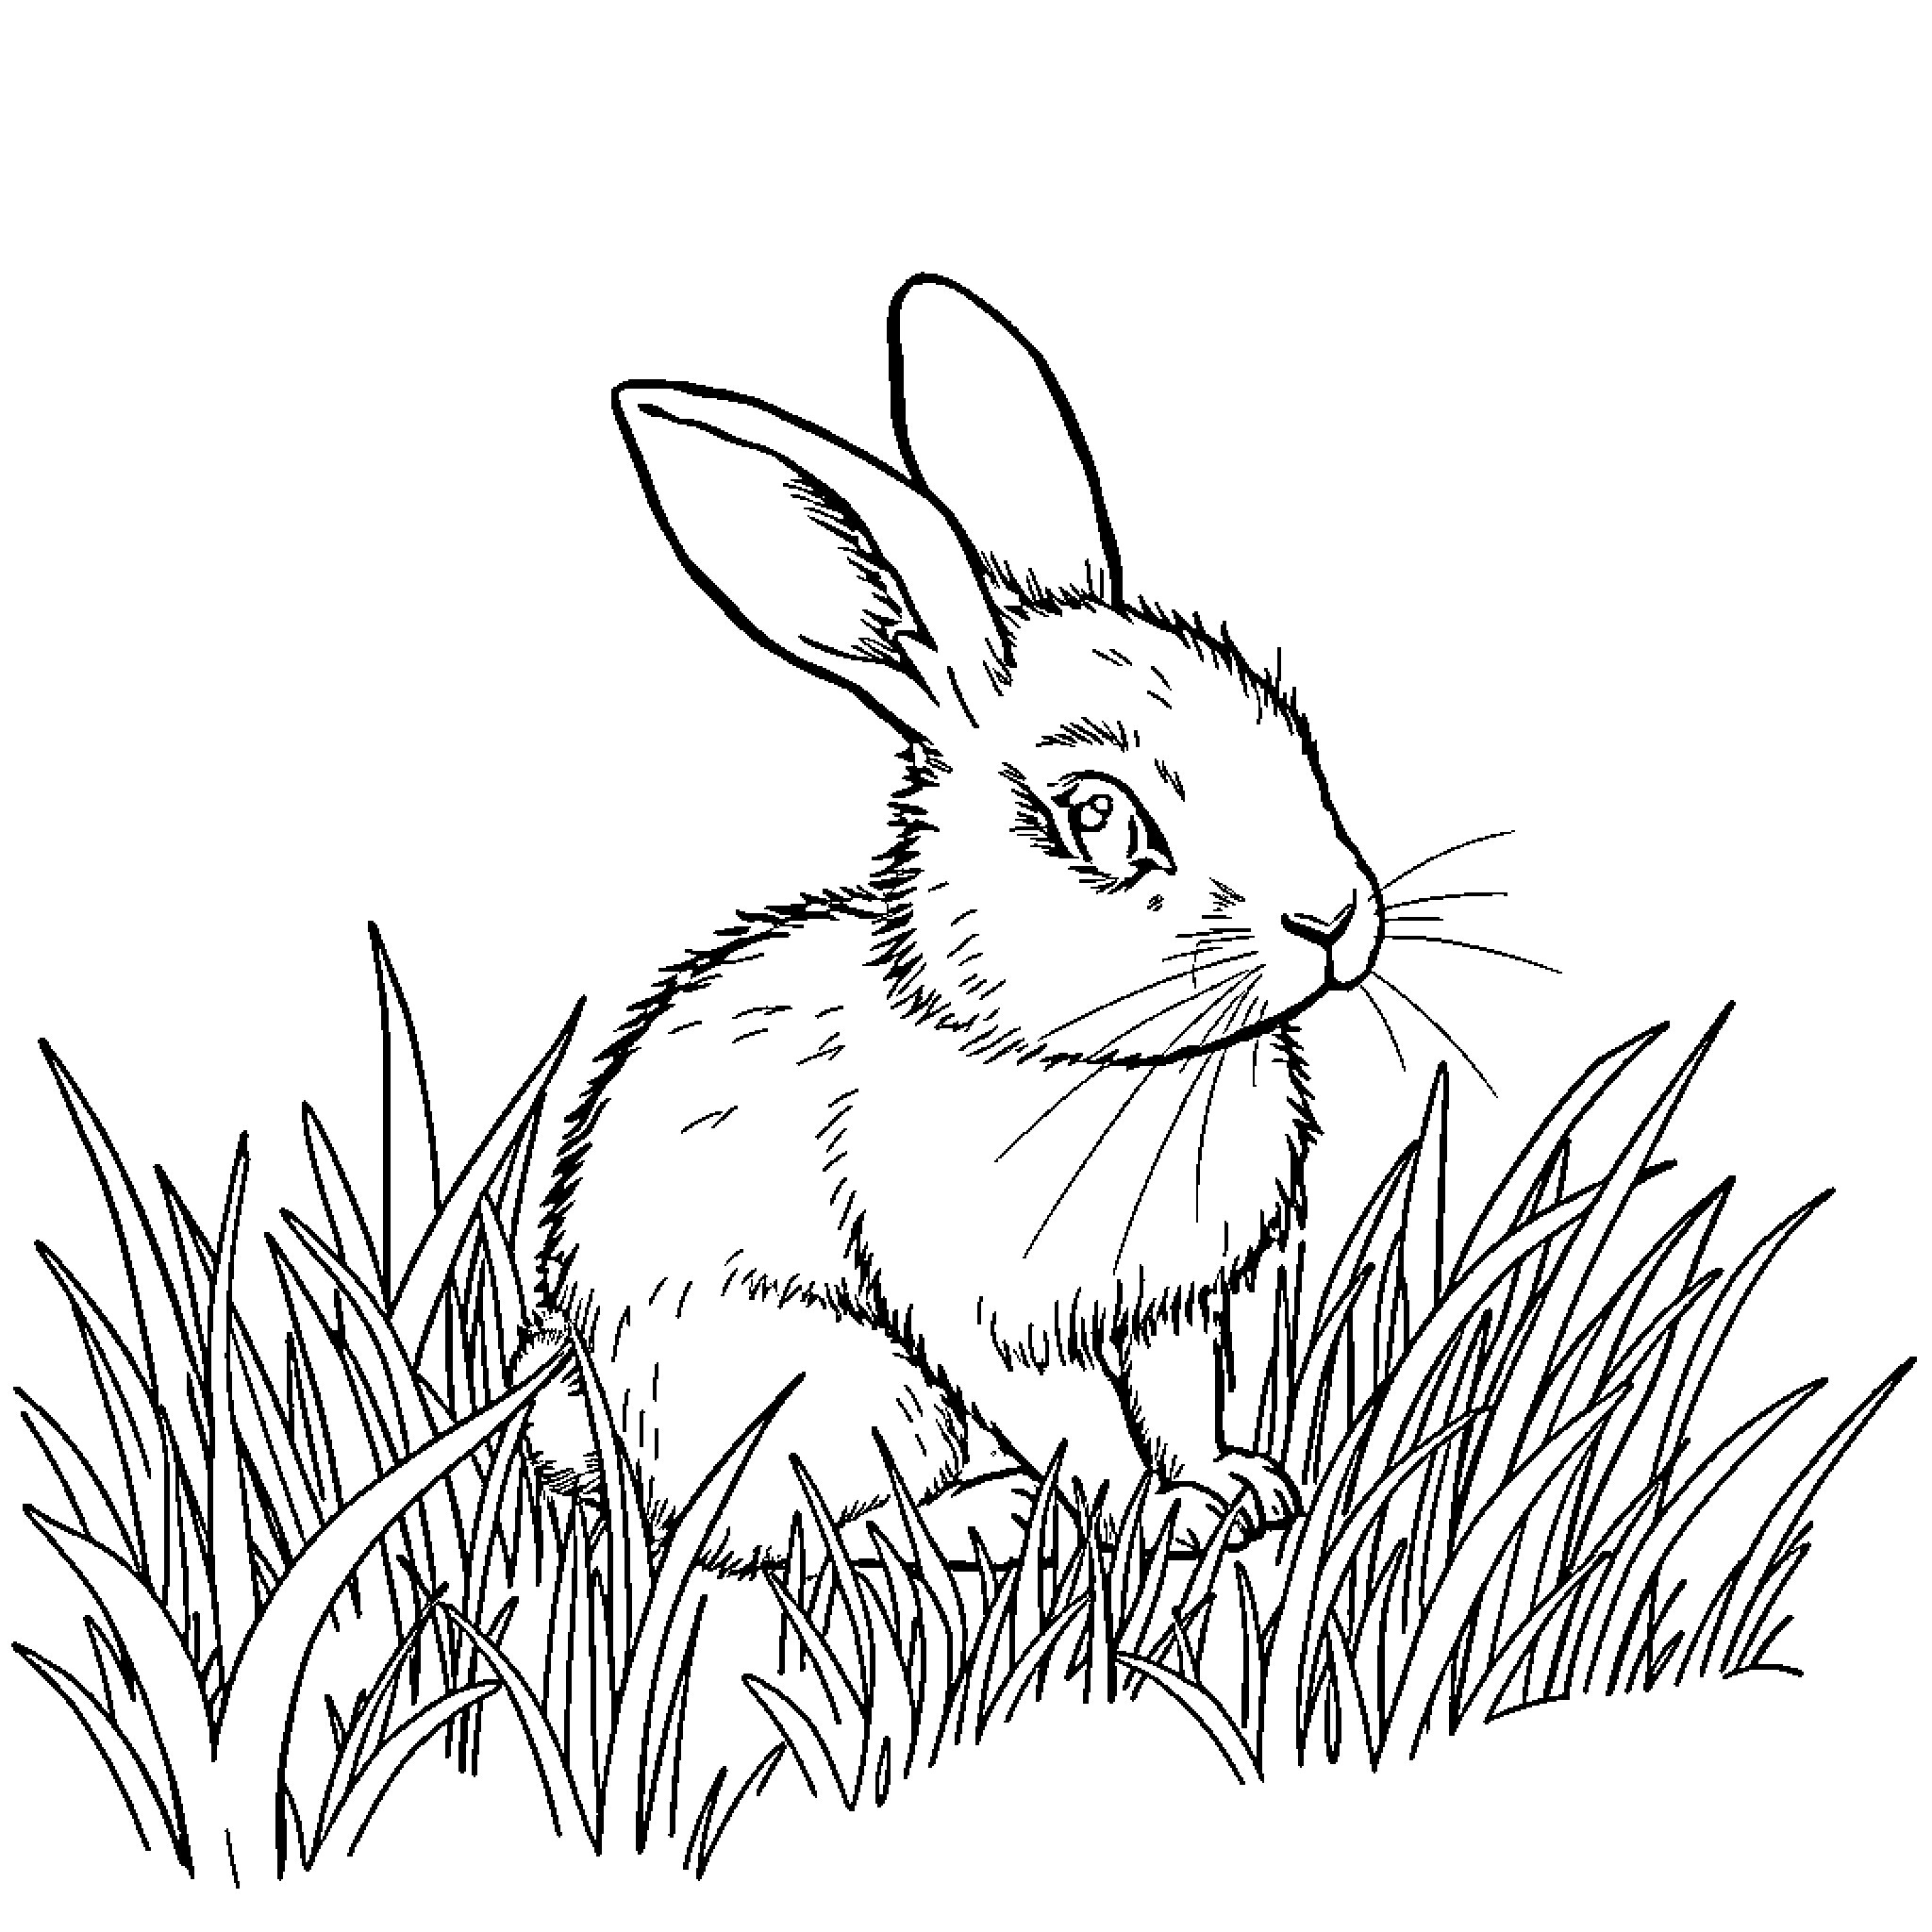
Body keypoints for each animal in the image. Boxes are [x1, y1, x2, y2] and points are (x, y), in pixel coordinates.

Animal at [517, 274, 1384, 1573]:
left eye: (1287, 728)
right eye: (1098, 816)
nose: (1331, 918)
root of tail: (591, 1423)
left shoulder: (1172, 1307)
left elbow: (1181, 1400)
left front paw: (1237, 1488)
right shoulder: (984, 1318)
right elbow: (1079, 1427)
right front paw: (1150, 1519)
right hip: (838, 1385)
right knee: (798, 1525)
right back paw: (985, 1517)